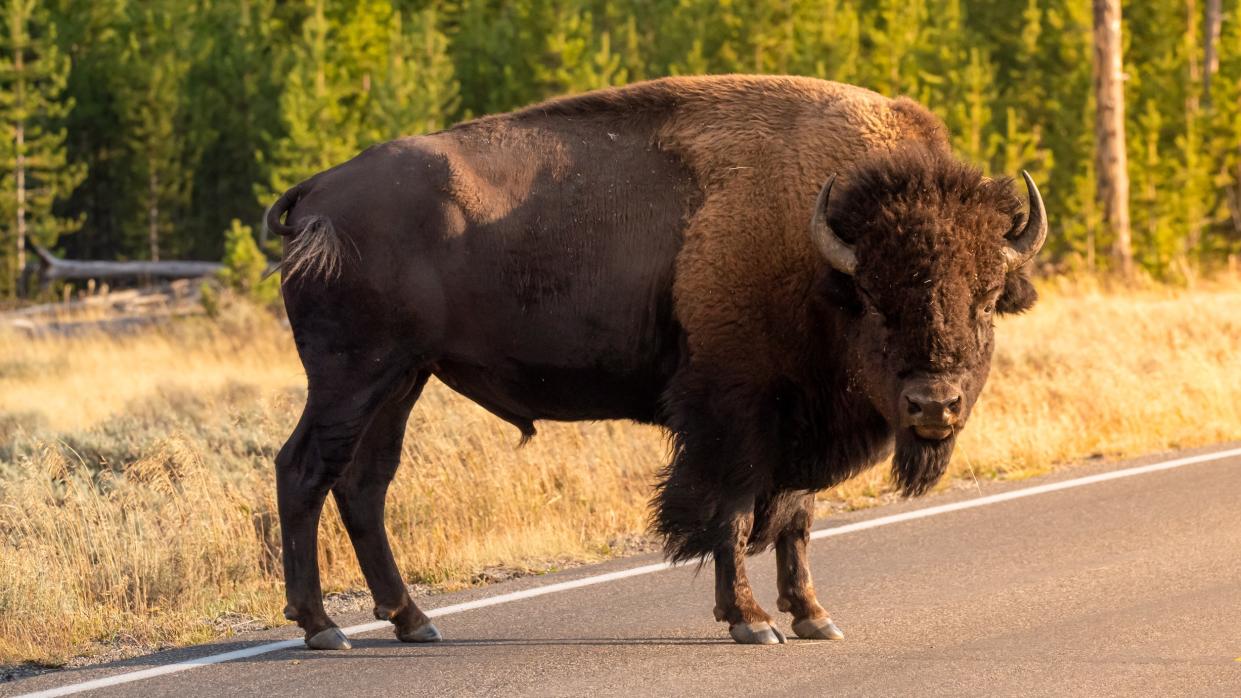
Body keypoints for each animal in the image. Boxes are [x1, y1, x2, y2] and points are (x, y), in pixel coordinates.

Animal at [266, 74, 1042, 645]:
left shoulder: (800, 422)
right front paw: (751, 623)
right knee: (304, 470)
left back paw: (412, 621)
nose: (933, 405)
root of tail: (316, 191)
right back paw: (323, 627)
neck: (816, 248)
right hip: (352, 376)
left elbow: (796, 520)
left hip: (402, 380)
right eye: (874, 300)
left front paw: (814, 618)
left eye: (985, 298)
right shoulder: (733, 415)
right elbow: (731, 515)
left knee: (364, 483)